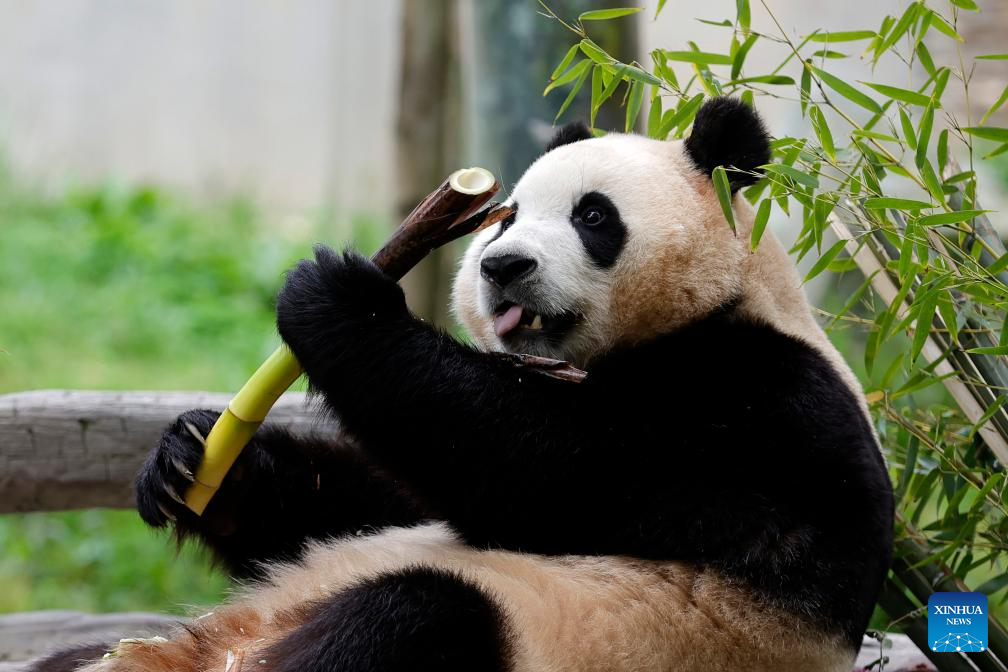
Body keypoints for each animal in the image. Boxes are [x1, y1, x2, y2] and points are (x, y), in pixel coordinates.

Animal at [41, 98, 891, 672]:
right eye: (505, 216)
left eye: (592, 216)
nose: (503, 266)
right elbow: (382, 499)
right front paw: (193, 461)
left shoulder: (764, 407)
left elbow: (552, 470)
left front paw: (338, 297)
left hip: (517, 634)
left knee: (414, 615)